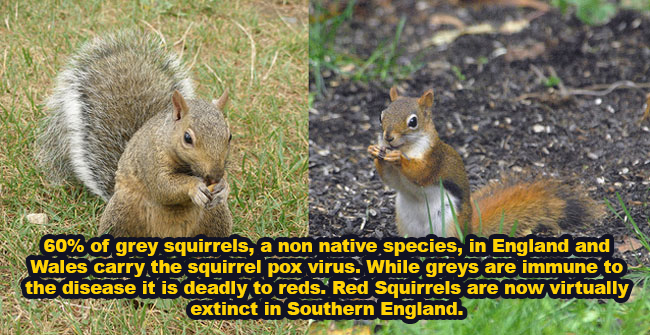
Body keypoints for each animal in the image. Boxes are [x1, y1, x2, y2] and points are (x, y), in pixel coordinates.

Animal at [36, 30, 233, 238]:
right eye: (187, 138)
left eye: (229, 136)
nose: (215, 176)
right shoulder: (149, 159)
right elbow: (163, 186)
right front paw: (194, 186)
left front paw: (224, 187)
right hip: (122, 212)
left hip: (216, 217)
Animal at [368, 86, 600, 239]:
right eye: (381, 115)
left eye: (413, 122)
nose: (388, 137)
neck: (406, 147)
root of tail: (469, 230)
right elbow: (390, 180)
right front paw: (375, 151)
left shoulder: (434, 160)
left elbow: (420, 173)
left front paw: (397, 159)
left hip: (449, 225)